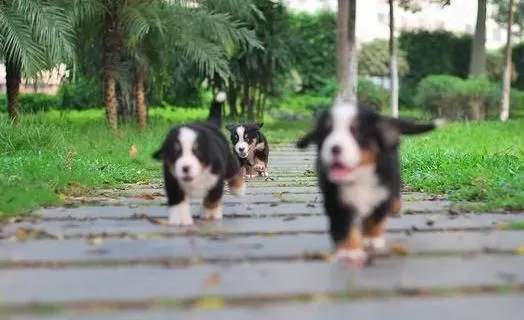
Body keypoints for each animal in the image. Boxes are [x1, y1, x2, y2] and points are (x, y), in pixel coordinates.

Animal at [151, 90, 246, 226]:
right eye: (175, 153)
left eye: (197, 152)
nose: (185, 168)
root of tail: (210, 124)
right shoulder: (172, 181)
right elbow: (177, 200)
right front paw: (180, 219)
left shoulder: (215, 179)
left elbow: (212, 198)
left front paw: (210, 214)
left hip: (228, 162)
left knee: (234, 171)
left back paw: (238, 189)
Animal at [296, 94, 444, 266]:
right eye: (326, 132)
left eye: (356, 132)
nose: (335, 148)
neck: (359, 177)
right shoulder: (336, 200)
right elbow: (344, 225)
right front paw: (350, 250)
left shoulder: (382, 193)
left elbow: (375, 218)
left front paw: (371, 238)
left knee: (394, 196)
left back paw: (394, 208)